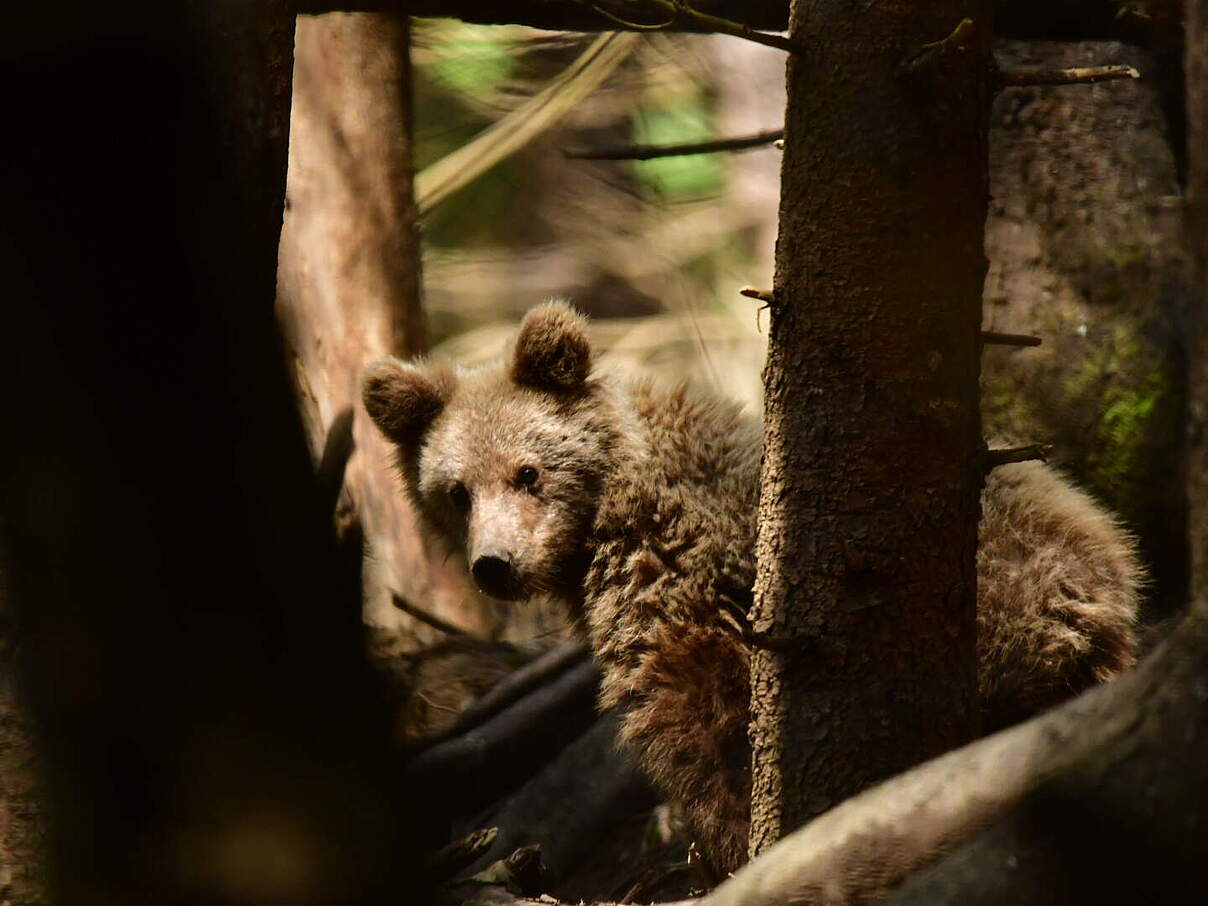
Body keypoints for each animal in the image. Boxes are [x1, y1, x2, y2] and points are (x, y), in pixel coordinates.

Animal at [359, 305, 1140, 879]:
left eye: (528, 471)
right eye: (456, 490)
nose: (496, 564)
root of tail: (1105, 586)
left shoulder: (678, 576)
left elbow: (699, 723)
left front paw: (738, 844)